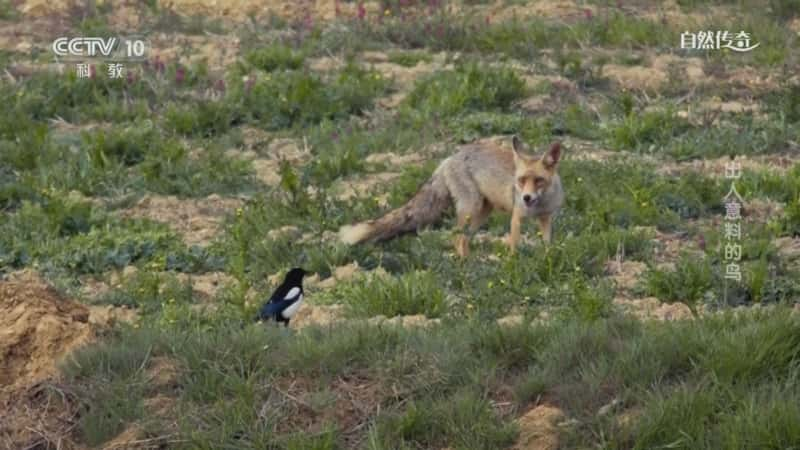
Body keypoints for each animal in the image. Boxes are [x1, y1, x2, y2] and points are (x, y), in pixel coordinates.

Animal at [338, 135, 564, 256]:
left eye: (539, 180)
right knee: (456, 237)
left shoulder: (546, 219)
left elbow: (547, 244)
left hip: (481, 213)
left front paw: (547, 259)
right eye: (521, 180)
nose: (526, 198)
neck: (540, 205)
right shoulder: (516, 217)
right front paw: (513, 263)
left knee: (463, 238)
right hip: (470, 208)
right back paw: (465, 265)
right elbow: (514, 246)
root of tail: (448, 159)